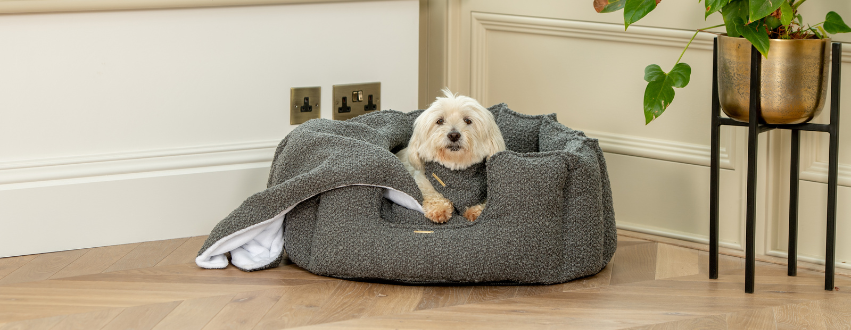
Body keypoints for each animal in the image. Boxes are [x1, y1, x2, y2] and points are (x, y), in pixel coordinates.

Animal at [398, 89, 506, 223]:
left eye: (468, 120)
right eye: (439, 121)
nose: (454, 135)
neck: (455, 167)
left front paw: (476, 210)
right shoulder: (422, 181)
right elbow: (432, 193)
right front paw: (439, 208)